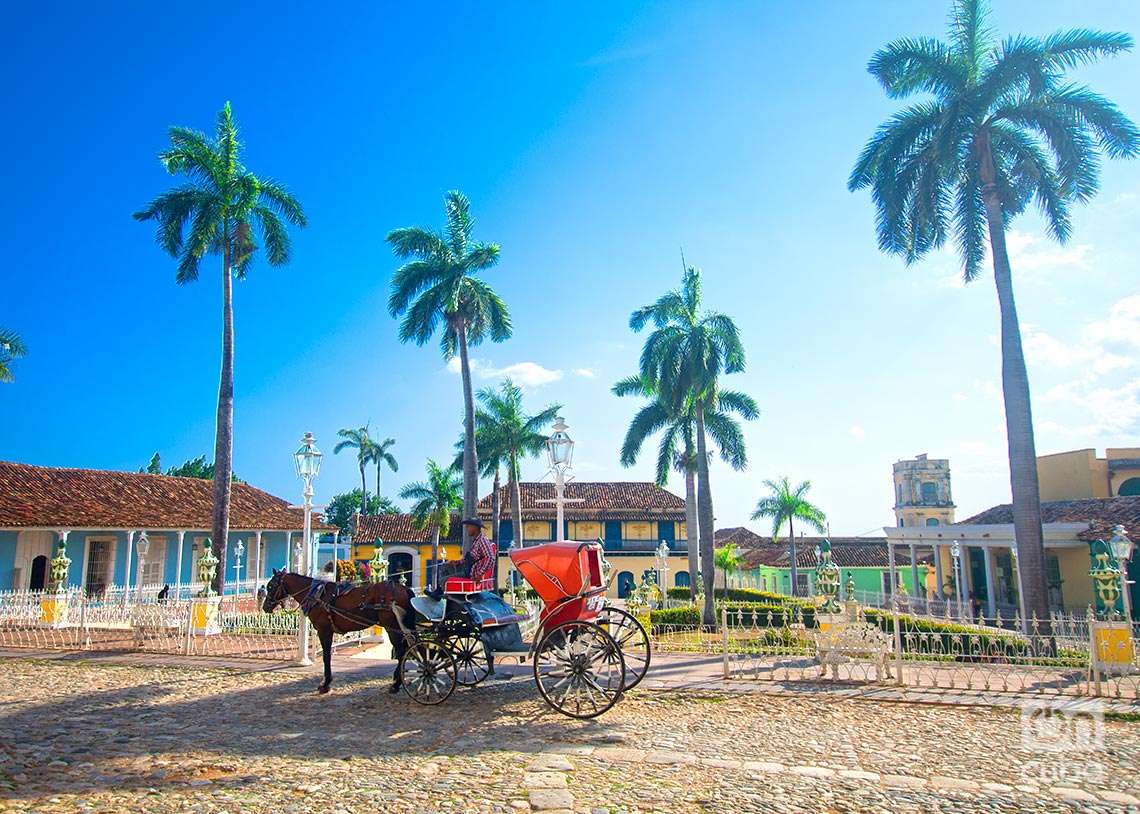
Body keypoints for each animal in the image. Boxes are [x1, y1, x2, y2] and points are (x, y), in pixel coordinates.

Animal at [261, 567, 417, 693]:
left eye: (271, 586)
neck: (316, 595)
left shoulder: (324, 630)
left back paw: (396, 684)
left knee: (402, 652)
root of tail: (404, 588)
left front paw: (325, 684)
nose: (265, 606)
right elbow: (327, 655)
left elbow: (326, 656)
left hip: (393, 627)